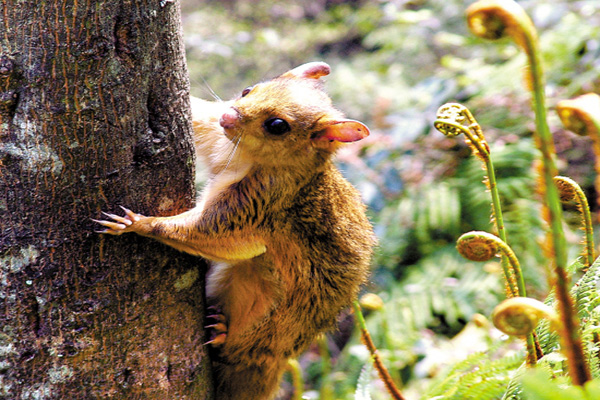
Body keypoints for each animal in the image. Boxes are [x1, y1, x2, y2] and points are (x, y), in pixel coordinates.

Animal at [95, 61, 376, 398]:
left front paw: (136, 223)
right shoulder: (217, 137)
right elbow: (201, 116)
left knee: (239, 348)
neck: (245, 156)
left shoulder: (260, 203)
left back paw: (222, 335)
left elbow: (210, 233)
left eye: (277, 126)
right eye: (248, 90)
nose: (228, 115)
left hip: (261, 312)